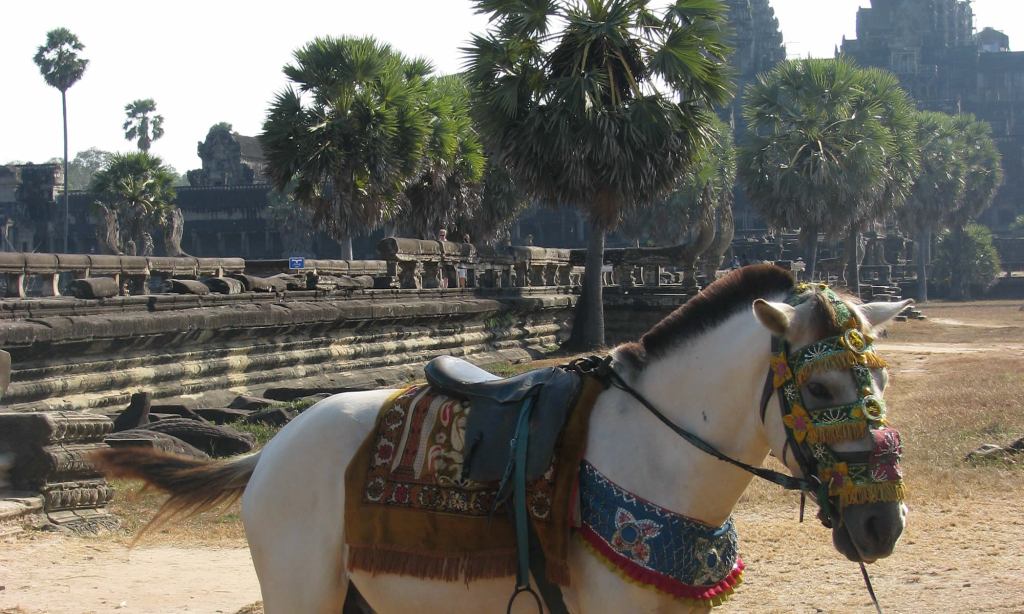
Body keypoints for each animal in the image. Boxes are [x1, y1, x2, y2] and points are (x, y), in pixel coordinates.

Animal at [94, 265, 911, 613]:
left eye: (881, 380)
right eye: (821, 391)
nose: (883, 524)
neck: (663, 457)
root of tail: (270, 450)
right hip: (301, 591)